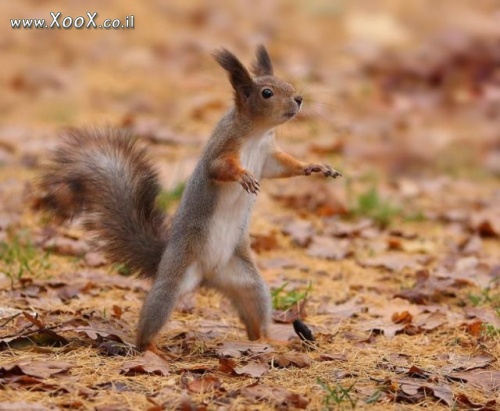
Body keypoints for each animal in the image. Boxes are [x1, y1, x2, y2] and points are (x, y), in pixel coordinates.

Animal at [39, 46, 342, 358]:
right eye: (267, 93)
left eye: (286, 83)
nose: (299, 99)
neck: (255, 134)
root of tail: (207, 275)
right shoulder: (221, 150)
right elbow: (221, 169)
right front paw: (243, 176)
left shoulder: (269, 156)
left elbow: (286, 166)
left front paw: (314, 167)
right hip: (174, 280)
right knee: (153, 316)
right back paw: (154, 349)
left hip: (248, 281)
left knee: (255, 320)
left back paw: (272, 340)